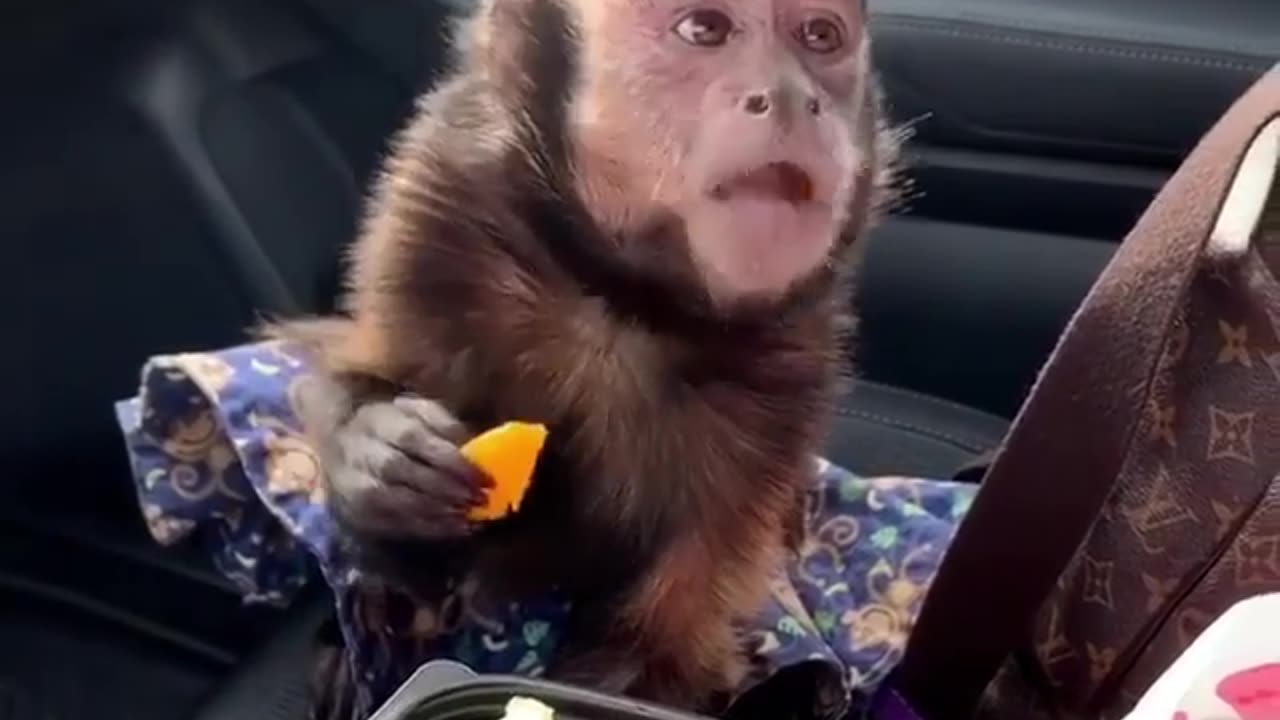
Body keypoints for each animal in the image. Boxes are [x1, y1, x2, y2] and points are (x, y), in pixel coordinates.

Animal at [270, 0, 899, 714]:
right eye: (705, 29)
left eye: (820, 37)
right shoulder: (433, 212)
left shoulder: (793, 367)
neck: (626, 295)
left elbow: (661, 647)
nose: (795, 97)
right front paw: (376, 450)